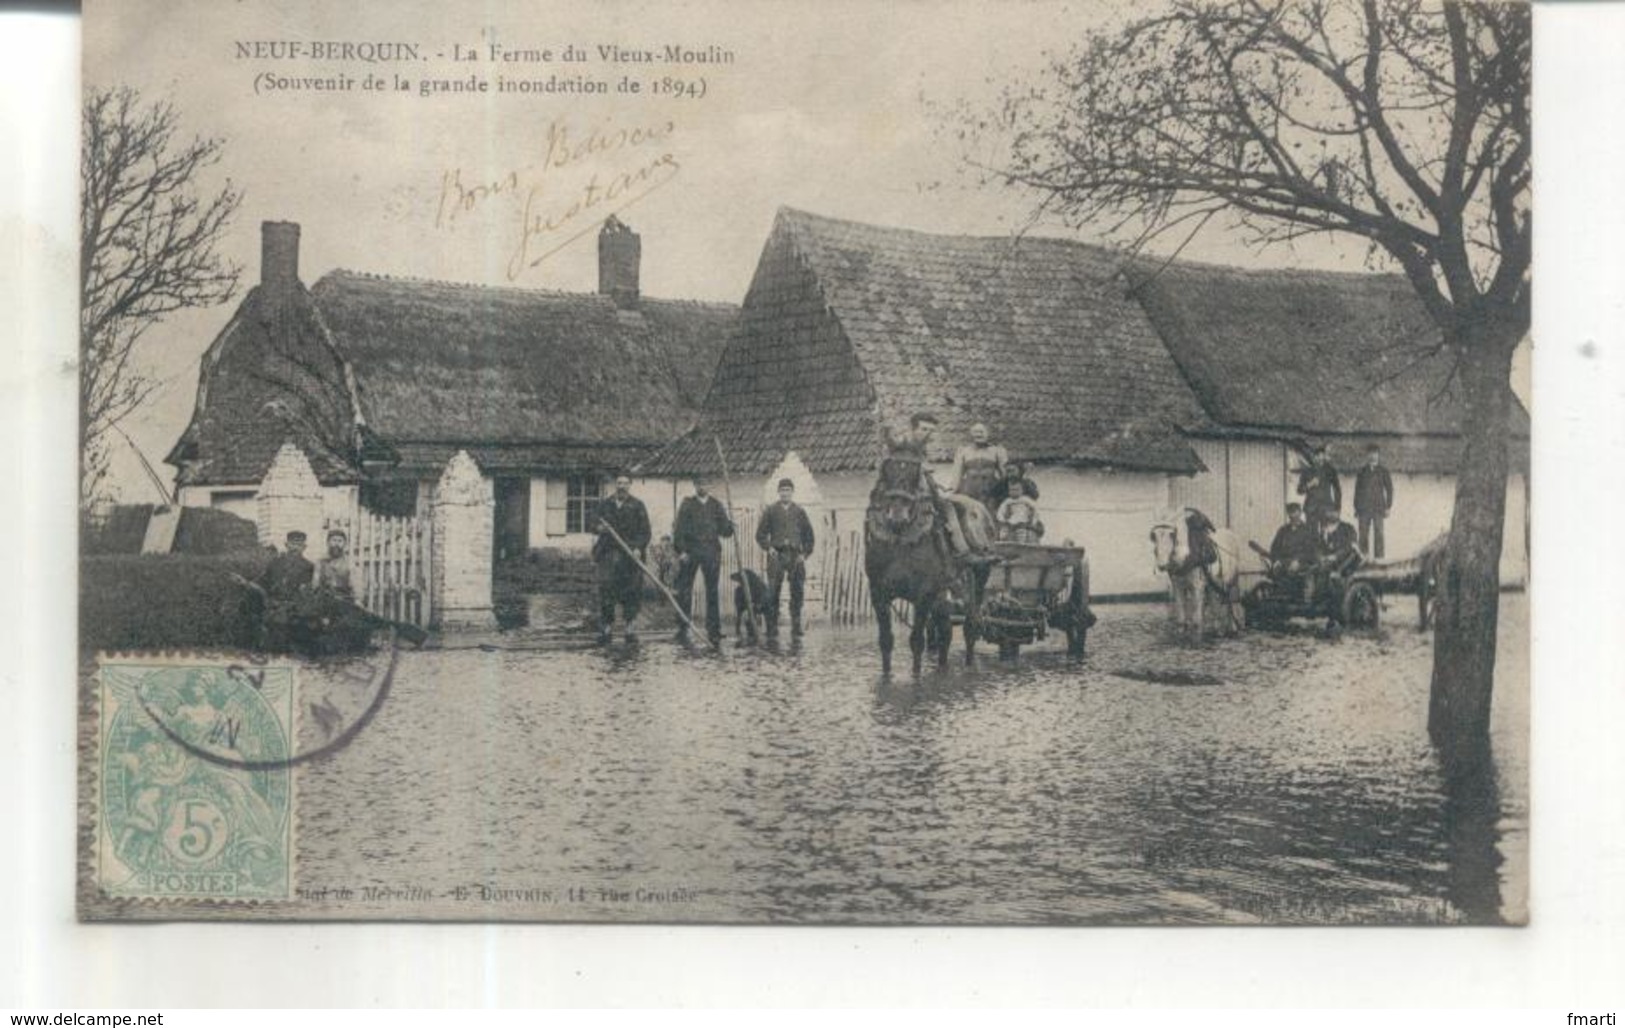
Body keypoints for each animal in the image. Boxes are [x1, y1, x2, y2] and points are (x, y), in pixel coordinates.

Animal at [864, 457, 975, 672]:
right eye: (886, 474)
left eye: (914, 475)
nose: (897, 515)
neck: (900, 541)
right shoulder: (878, 592)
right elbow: (885, 641)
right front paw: (886, 673)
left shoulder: (923, 594)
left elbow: (916, 641)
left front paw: (916, 674)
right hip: (942, 594)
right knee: (945, 632)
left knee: (970, 627)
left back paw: (969, 663)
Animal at [1157, 509, 1241, 646]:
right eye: (1154, 536)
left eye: (1171, 534)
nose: (1161, 565)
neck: (1186, 555)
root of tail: (1230, 533)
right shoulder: (1178, 587)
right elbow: (1182, 615)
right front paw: (1180, 637)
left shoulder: (1197, 586)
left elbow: (1197, 615)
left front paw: (1196, 640)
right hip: (1213, 583)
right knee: (1215, 602)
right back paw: (1218, 631)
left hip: (1232, 580)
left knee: (1231, 600)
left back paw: (1233, 628)